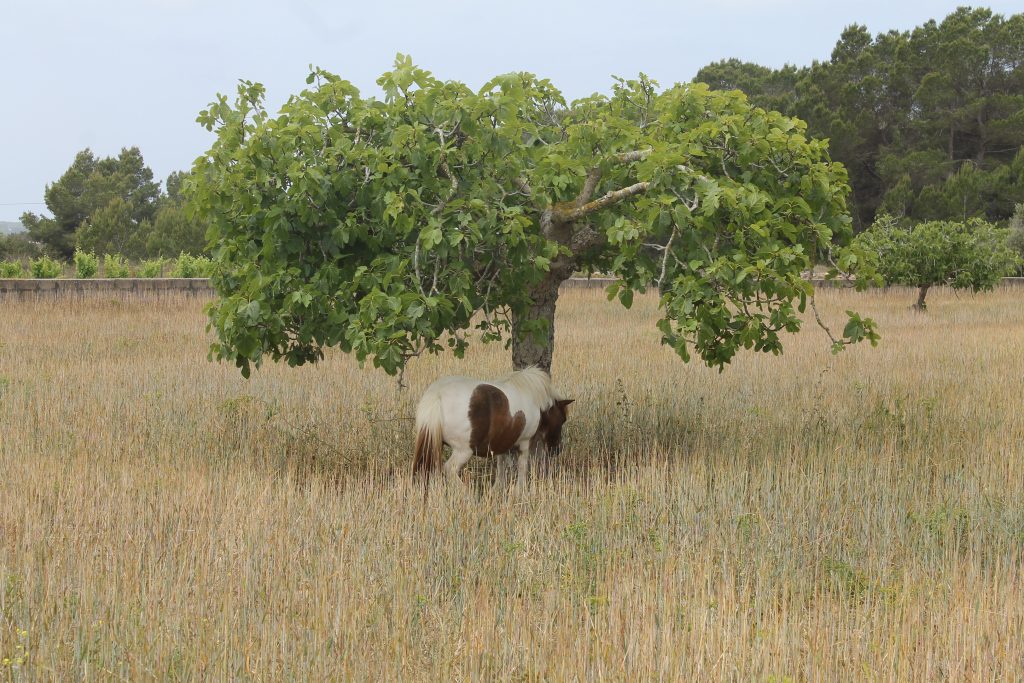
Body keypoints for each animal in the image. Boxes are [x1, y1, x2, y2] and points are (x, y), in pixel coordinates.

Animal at [415, 370, 577, 489]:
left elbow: (500, 467)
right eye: (563, 419)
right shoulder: (524, 444)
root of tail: (438, 394)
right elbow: (522, 468)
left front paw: (497, 490)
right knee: (450, 469)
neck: (533, 398)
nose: (556, 450)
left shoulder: (501, 443)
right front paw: (520, 491)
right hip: (463, 451)